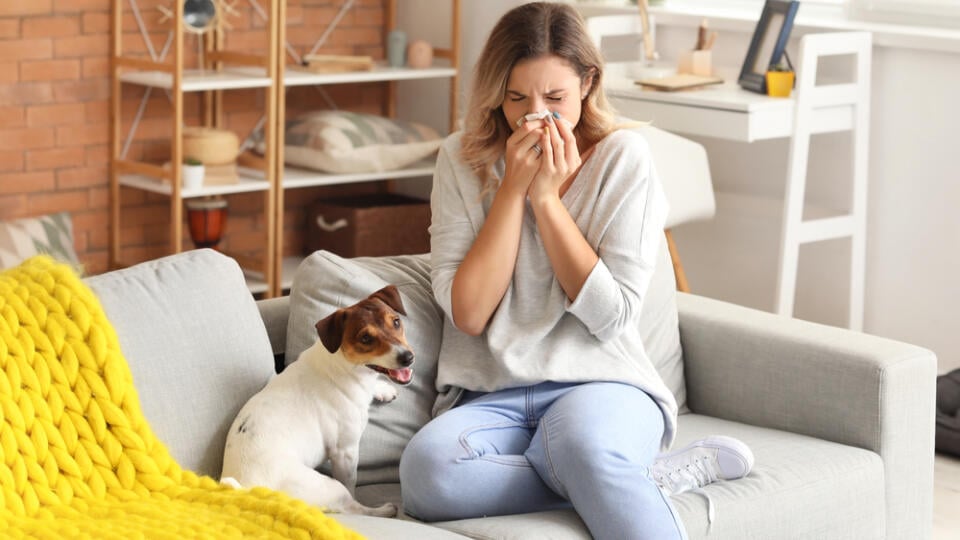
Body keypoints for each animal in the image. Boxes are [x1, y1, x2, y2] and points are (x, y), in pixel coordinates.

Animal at [221, 284, 416, 516]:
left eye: (395, 321)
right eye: (366, 339)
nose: (408, 357)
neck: (342, 366)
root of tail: (248, 488)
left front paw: (383, 389)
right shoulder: (345, 452)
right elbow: (351, 483)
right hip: (328, 486)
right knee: (351, 507)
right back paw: (382, 510)